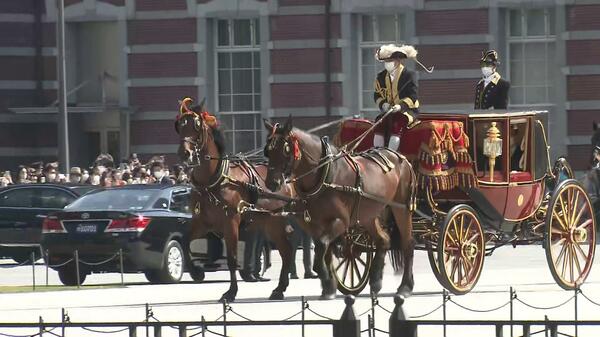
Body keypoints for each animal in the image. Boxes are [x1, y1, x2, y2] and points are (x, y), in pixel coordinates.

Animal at [173, 98, 296, 300]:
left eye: (196, 125)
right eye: (179, 125)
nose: (185, 153)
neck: (214, 181)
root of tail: (287, 178)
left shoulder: (230, 222)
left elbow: (232, 258)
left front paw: (231, 292)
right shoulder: (202, 222)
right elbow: (184, 242)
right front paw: (196, 271)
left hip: (276, 220)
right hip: (270, 222)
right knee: (286, 251)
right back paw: (279, 288)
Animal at [262, 117, 418, 298]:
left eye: (286, 149)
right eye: (268, 150)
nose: (272, 183)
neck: (324, 175)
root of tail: (400, 157)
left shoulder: (341, 221)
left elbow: (322, 245)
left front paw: (322, 274)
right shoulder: (314, 224)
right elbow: (325, 250)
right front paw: (329, 286)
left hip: (401, 208)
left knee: (408, 244)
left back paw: (405, 286)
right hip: (368, 214)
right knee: (383, 240)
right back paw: (375, 281)